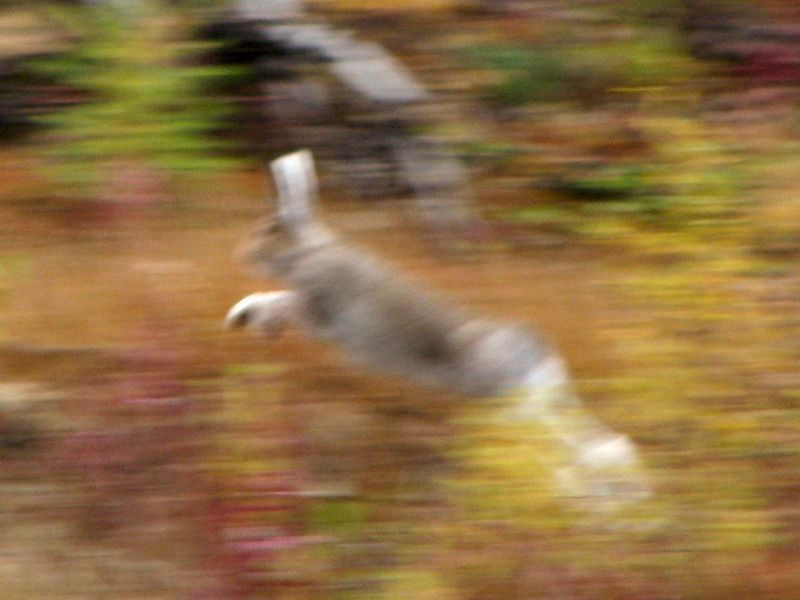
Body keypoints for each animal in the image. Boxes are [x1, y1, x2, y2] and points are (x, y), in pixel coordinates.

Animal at [226, 149, 651, 508]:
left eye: (270, 230)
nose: (244, 255)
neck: (310, 251)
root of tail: (541, 357)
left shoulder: (318, 308)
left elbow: (278, 300)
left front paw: (244, 316)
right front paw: (247, 321)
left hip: (511, 399)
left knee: (571, 445)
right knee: (590, 443)